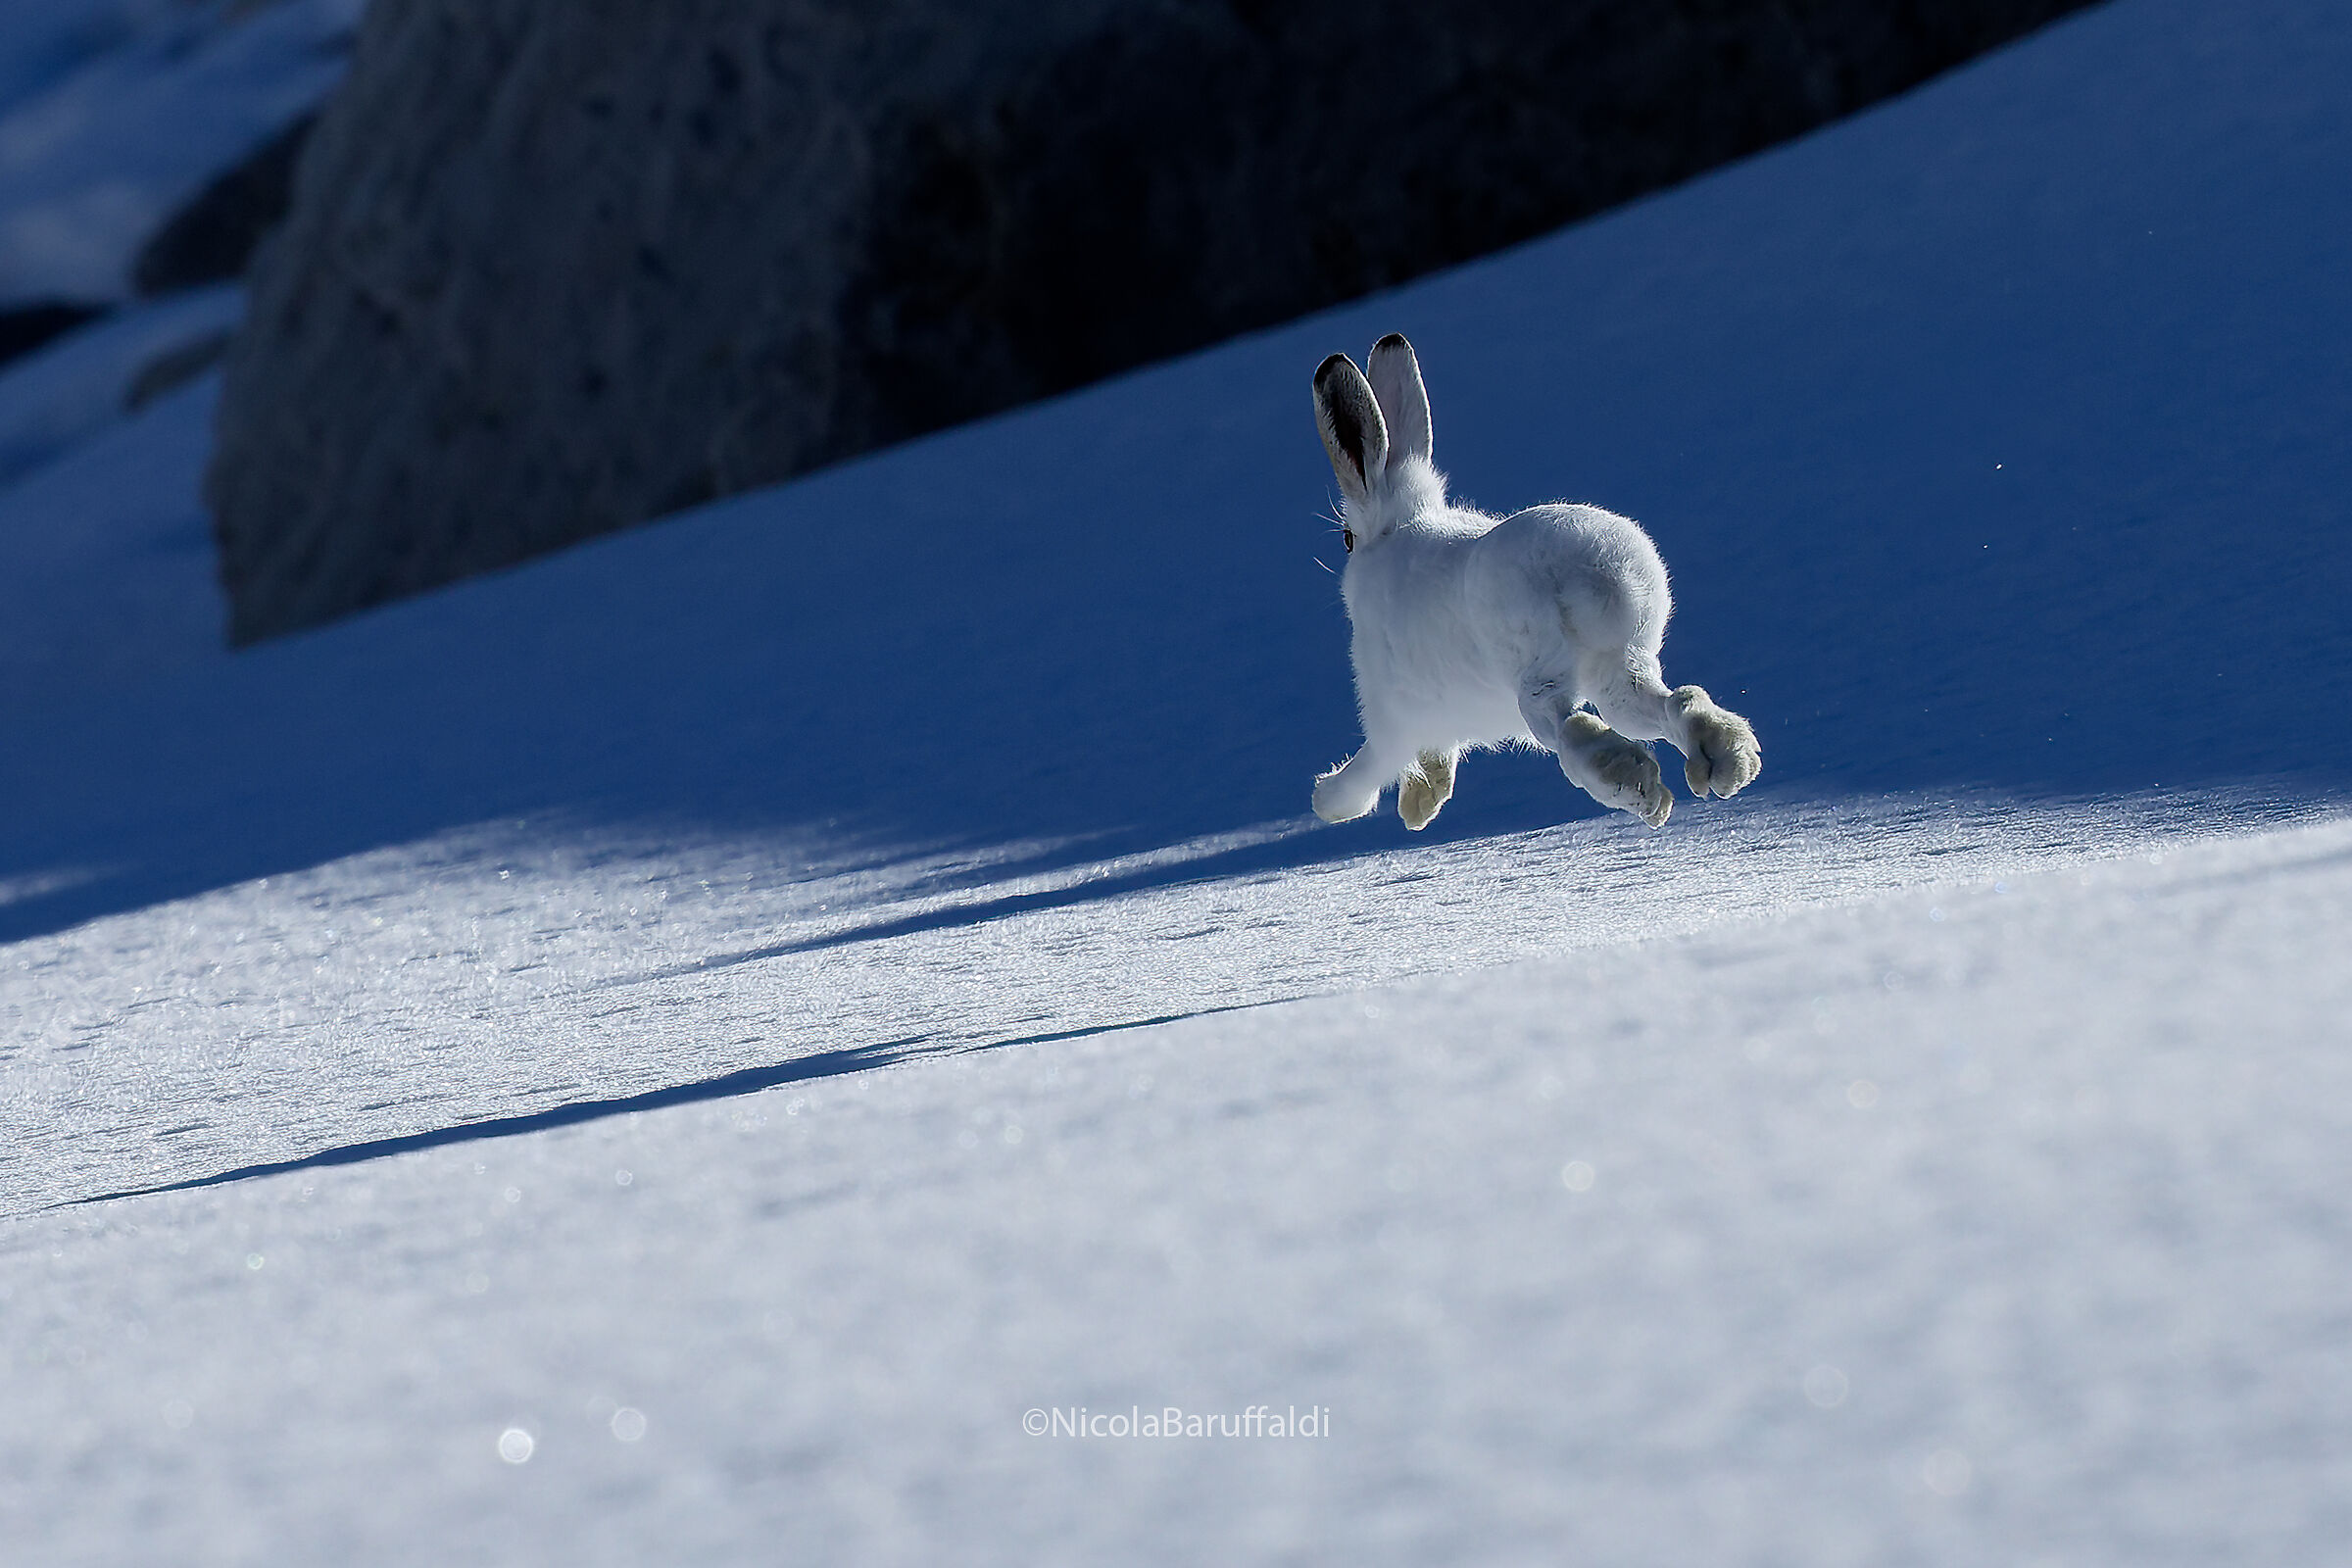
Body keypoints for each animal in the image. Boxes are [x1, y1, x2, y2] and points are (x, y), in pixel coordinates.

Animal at [1310, 334, 1761, 831]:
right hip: (1622, 661)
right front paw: (1422, 803)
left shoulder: (1391, 721)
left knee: (1569, 727)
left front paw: (1333, 800)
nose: (1348, 544)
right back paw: (1726, 763)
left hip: (1533, 666)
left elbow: (1374, 769)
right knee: (1668, 703)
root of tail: (1597, 572)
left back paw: (1635, 786)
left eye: (1347, 538)